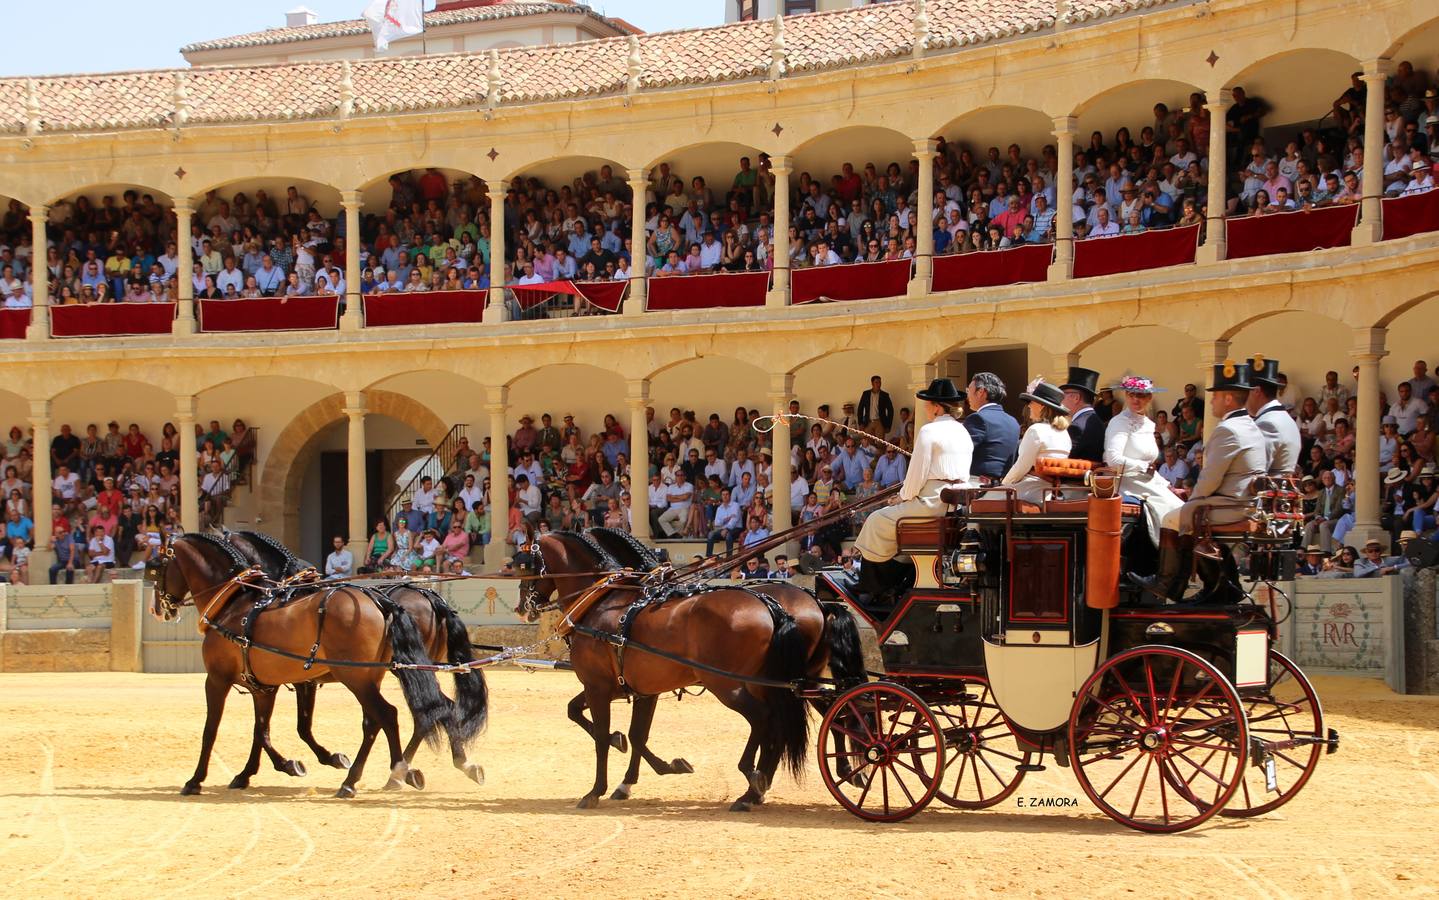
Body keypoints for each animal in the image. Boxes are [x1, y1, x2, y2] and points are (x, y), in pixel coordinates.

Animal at [147, 529, 448, 794]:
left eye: (153, 568)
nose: (157, 609)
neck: (235, 603)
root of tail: (381, 601)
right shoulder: (264, 686)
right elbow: (263, 730)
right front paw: (261, 771)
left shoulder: (217, 680)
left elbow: (211, 730)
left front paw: (195, 780)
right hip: (373, 677)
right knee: (397, 716)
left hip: (357, 678)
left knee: (388, 715)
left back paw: (385, 775)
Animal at [224, 529, 489, 789]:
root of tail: (428, 597)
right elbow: (291, 726)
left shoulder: (300, 681)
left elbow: (284, 728)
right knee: (441, 708)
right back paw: (458, 764)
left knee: (426, 713)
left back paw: (399, 773)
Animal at [515, 529, 823, 812]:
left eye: (524, 564)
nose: (522, 608)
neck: (603, 601)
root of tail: (773, 607)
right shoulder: (635, 689)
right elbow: (627, 732)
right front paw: (643, 772)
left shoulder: (597, 687)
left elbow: (601, 736)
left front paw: (595, 790)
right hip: (769, 685)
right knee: (776, 725)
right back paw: (756, 788)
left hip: (728, 685)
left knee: (763, 718)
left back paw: (751, 781)